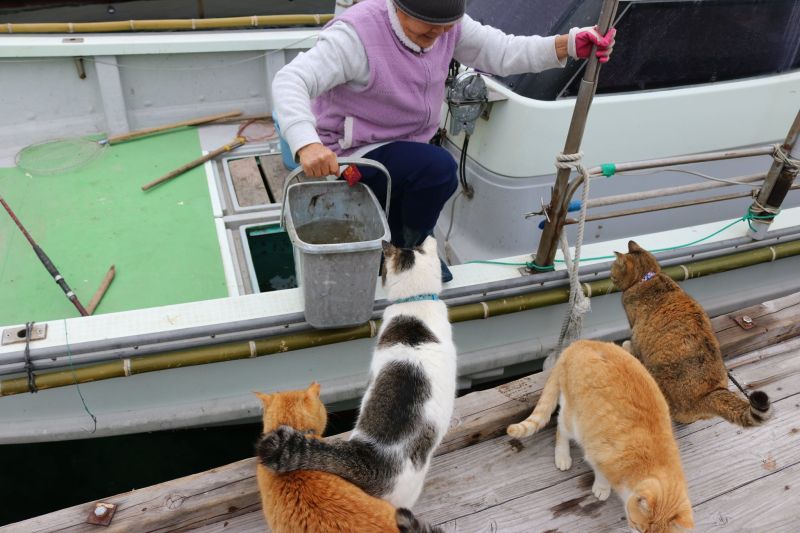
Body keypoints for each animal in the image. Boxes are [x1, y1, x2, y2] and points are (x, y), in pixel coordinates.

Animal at [512, 340, 692, 532]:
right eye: (638, 528)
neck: (655, 462)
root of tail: (580, 343)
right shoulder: (599, 454)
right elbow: (602, 474)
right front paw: (602, 488)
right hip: (573, 419)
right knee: (560, 427)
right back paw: (562, 456)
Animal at [608, 239, 772, 426]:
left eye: (613, 269)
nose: (609, 277)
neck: (648, 277)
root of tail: (708, 394)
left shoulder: (634, 330)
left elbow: (632, 345)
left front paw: (626, 345)